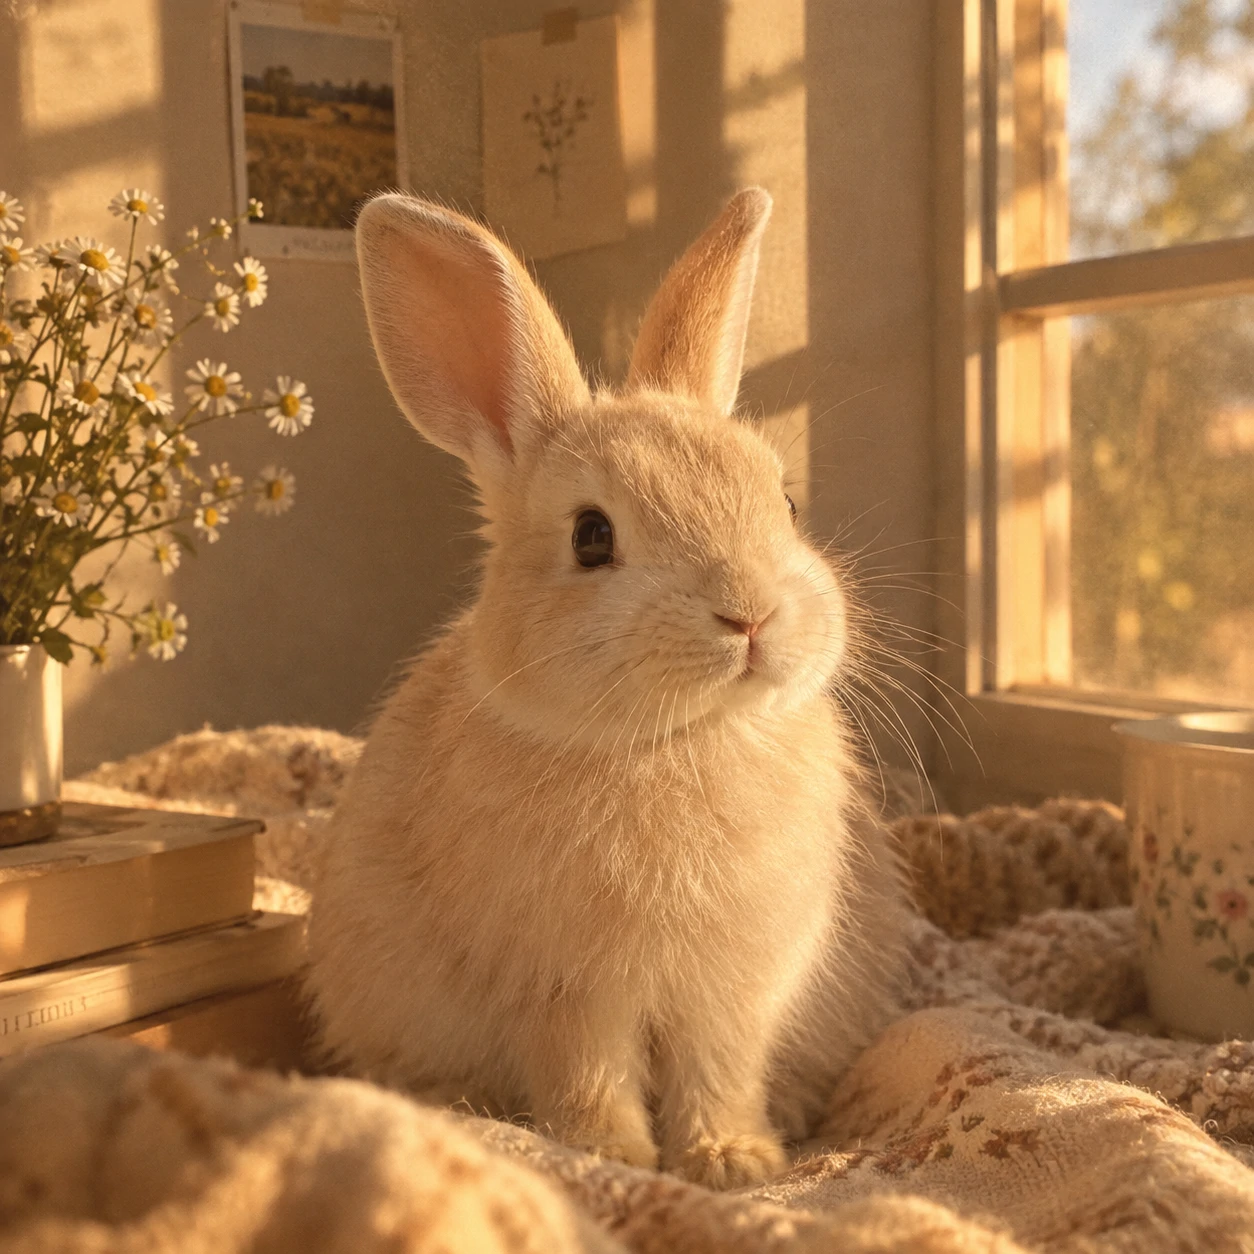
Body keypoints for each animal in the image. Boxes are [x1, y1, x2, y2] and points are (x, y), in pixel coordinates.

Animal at [304, 188, 907, 1191]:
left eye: (783, 505)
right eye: (592, 537)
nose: (750, 615)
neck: (674, 741)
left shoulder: (732, 992)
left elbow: (720, 1070)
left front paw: (734, 1161)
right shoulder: (567, 990)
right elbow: (586, 1070)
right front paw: (609, 1156)